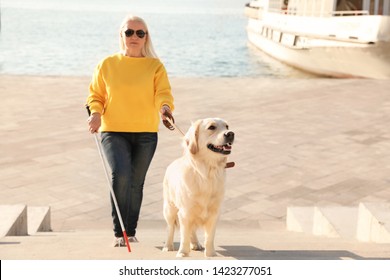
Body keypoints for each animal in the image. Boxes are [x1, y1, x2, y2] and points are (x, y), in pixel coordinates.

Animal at [161, 117, 235, 258]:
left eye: (227, 126)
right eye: (212, 127)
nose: (230, 134)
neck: (207, 171)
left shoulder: (214, 212)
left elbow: (209, 236)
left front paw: (211, 254)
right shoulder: (185, 211)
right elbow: (184, 235)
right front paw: (183, 253)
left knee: (192, 230)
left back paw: (195, 243)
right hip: (170, 208)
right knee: (170, 228)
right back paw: (168, 246)